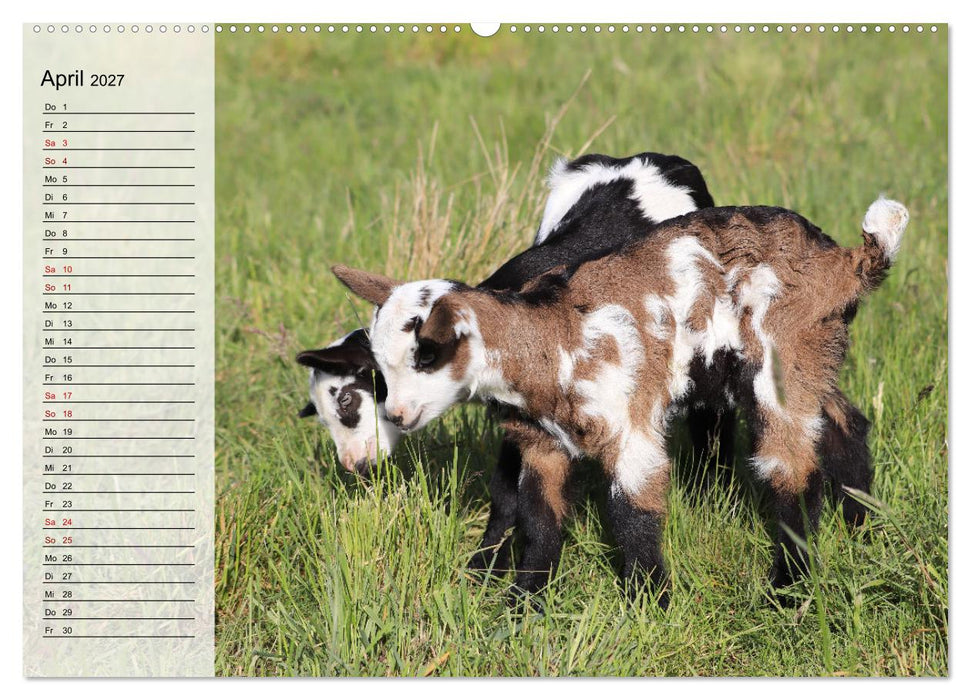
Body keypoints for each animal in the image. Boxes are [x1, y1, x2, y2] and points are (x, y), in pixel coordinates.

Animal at [332, 197, 908, 607]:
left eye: (426, 355)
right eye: (380, 366)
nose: (398, 415)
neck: (552, 341)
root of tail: (845, 262)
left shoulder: (629, 426)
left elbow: (632, 511)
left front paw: (650, 603)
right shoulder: (542, 441)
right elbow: (539, 518)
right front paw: (524, 603)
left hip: (781, 356)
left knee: (791, 468)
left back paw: (787, 590)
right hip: (815, 356)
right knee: (846, 424)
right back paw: (862, 523)